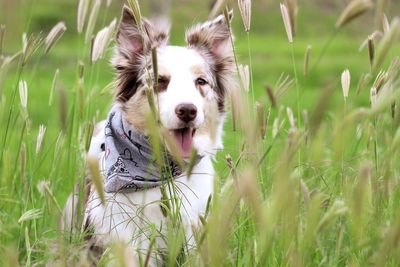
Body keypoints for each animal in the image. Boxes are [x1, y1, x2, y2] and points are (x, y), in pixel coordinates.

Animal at [64, 4, 236, 266]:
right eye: (159, 81)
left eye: (201, 81)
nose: (188, 110)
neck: (162, 171)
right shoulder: (123, 235)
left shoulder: (194, 224)